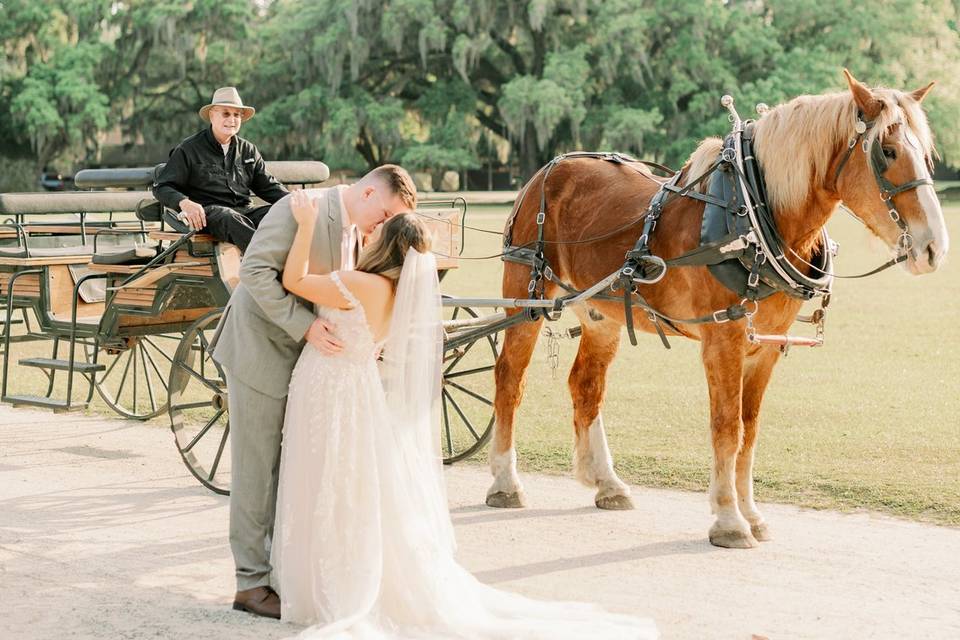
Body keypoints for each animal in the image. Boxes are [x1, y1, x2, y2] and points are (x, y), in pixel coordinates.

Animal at [488, 71, 944, 552]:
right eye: (886, 152)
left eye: (926, 154)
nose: (934, 246)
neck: (755, 214)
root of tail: (545, 171)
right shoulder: (723, 338)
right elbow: (728, 427)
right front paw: (729, 519)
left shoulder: (767, 346)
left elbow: (750, 429)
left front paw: (752, 513)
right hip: (526, 295)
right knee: (510, 378)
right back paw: (505, 481)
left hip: (601, 314)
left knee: (586, 386)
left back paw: (607, 483)